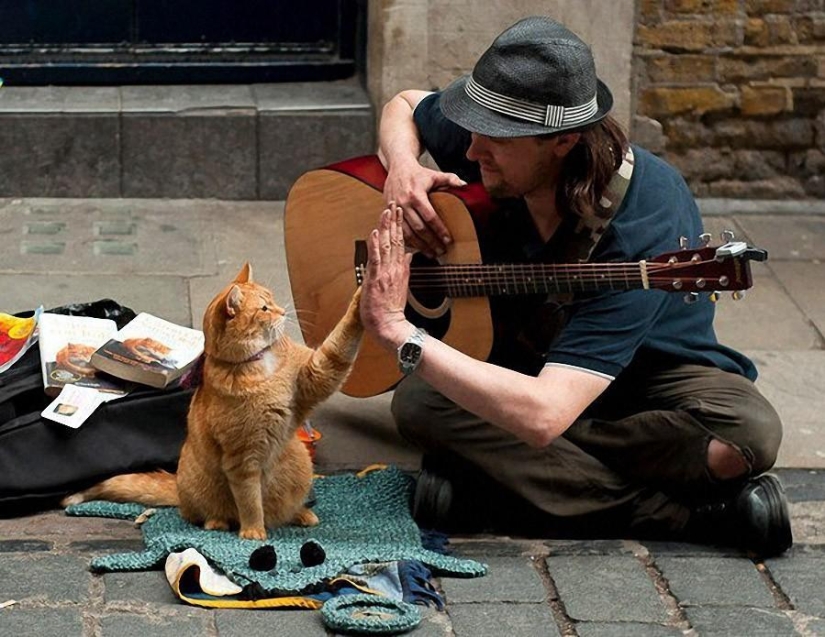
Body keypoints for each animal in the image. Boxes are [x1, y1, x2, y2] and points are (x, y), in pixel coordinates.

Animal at [62, 260, 362, 540]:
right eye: (264, 308)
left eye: (273, 299)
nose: (283, 311)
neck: (260, 363)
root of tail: (178, 486)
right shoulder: (242, 458)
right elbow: (250, 501)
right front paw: (253, 531)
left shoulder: (318, 374)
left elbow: (340, 343)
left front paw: (362, 296)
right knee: (206, 514)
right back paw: (218, 522)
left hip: (299, 462)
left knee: (283, 510)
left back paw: (300, 514)